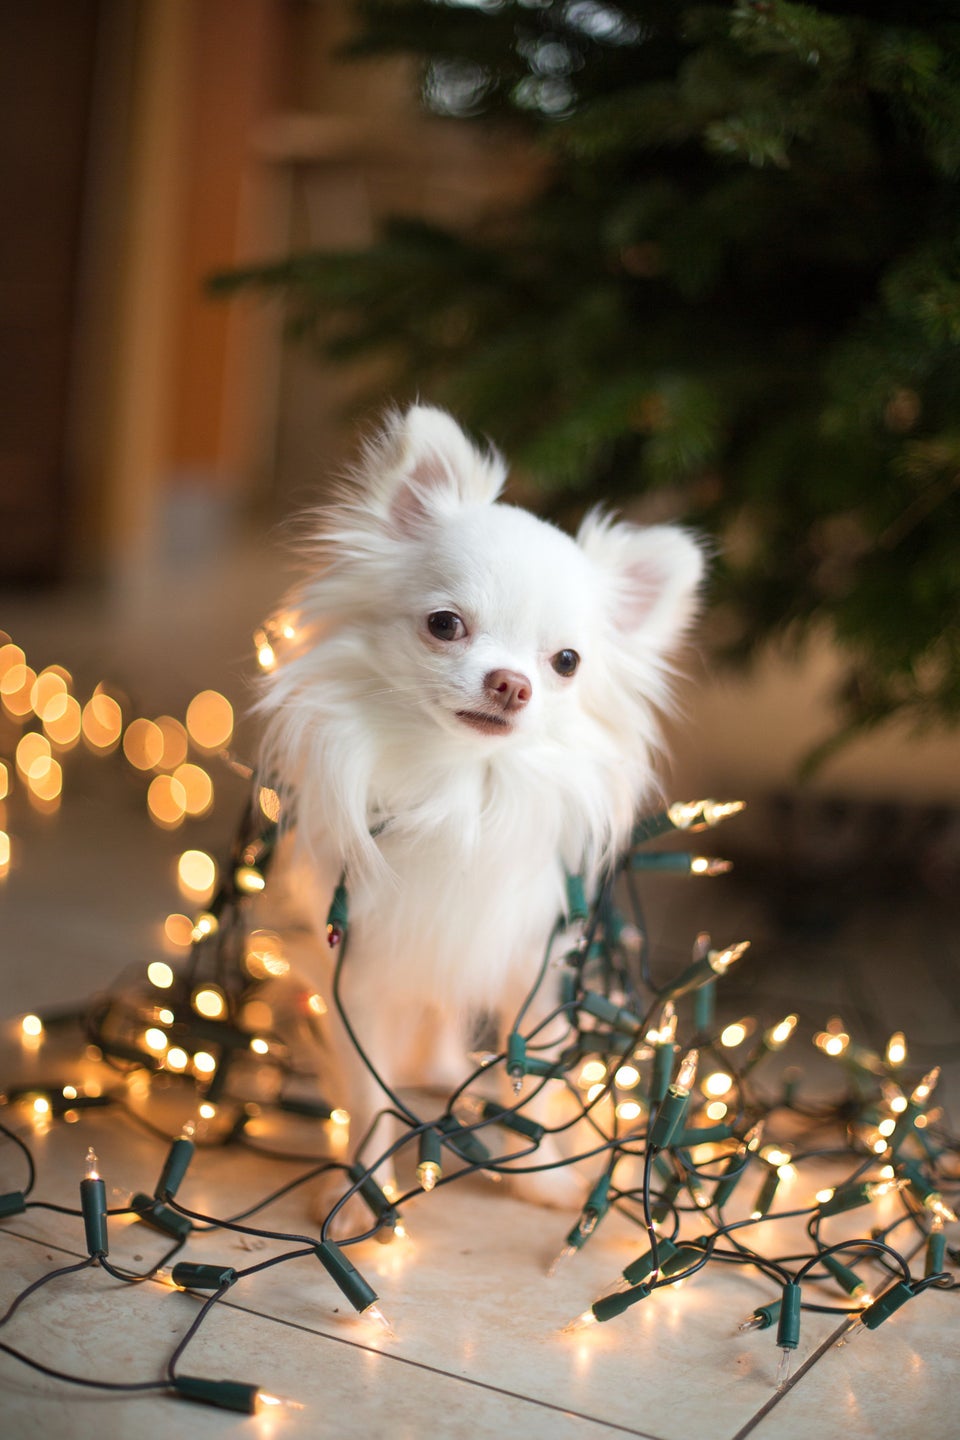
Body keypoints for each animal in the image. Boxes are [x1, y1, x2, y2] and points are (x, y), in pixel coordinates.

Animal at [259, 408, 702, 1226]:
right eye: (445, 624)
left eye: (567, 662)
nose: (511, 684)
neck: (461, 792)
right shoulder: (358, 976)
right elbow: (366, 1095)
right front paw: (362, 1191)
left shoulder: (535, 970)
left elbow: (540, 1079)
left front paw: (546, 1180)